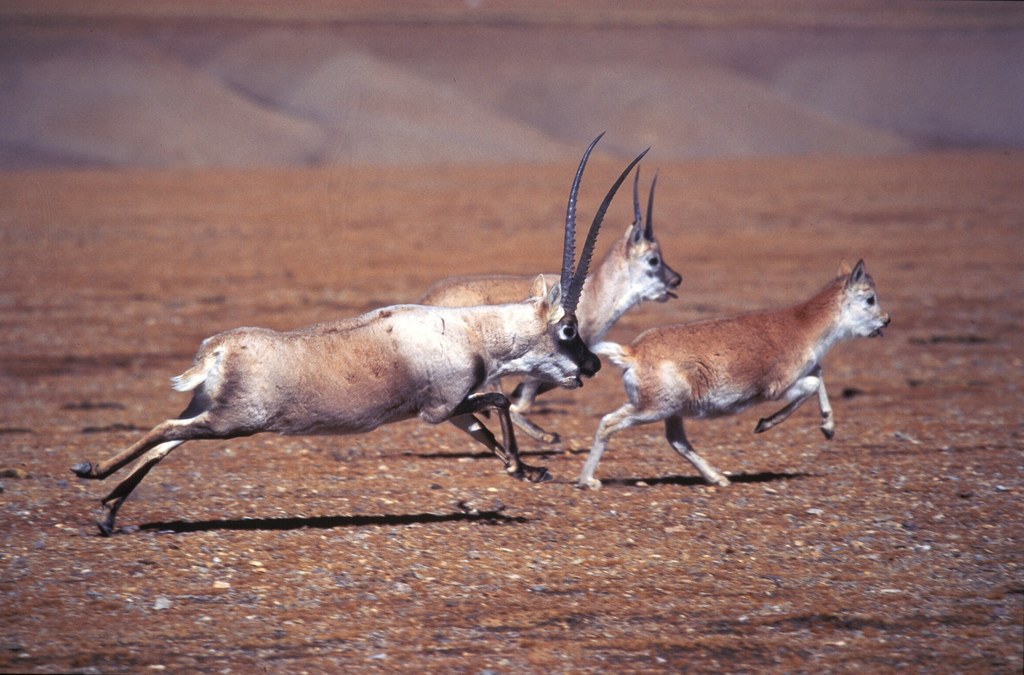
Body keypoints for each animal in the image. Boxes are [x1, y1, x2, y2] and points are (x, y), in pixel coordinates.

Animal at [72, 134, 647, 536]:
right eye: (568, 328)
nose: (592, 365)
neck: (472, 329)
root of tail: (217, 349)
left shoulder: (453, 413)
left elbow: (484, 429)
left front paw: (523, 471)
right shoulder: (438, 408)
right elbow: (500, 401)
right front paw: (524, 469)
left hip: (210, 412)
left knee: (168, 438)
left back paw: (107, 510)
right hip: (232, 422)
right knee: (165, 430)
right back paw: (91, 473)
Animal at [577, 260, 888, 491]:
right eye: (870, 299)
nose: (886, 321)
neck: (802, 326)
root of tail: (631, 353)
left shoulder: (807, 371)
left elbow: (820, 376)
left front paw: (828, 428)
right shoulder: (779, 388)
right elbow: (813, 383)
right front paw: (764, 424)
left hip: (671, 411)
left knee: (677, 441)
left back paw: (718, 478)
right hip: (652, 408)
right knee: (608, 423)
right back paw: (587, 481)